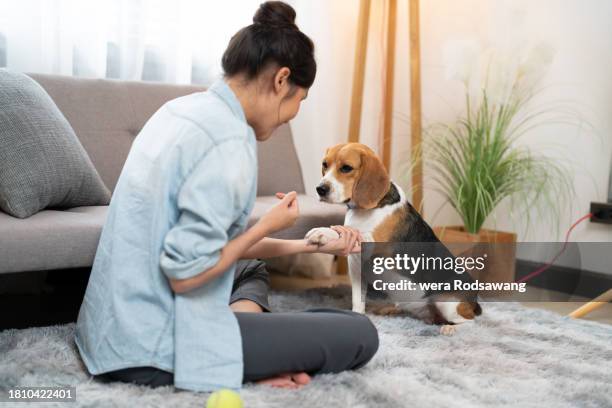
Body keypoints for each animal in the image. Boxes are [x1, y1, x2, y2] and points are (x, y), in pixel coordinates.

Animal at [304, 142, 480, 334]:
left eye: (346, 168)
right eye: (325, 165)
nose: (320, 189)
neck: (366, 210)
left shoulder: (373, 244)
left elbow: (348, 231)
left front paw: (323, 232)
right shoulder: (356, 265)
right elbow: (358, 299)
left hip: (447, 302)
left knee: (471, 322)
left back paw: (451, 328)